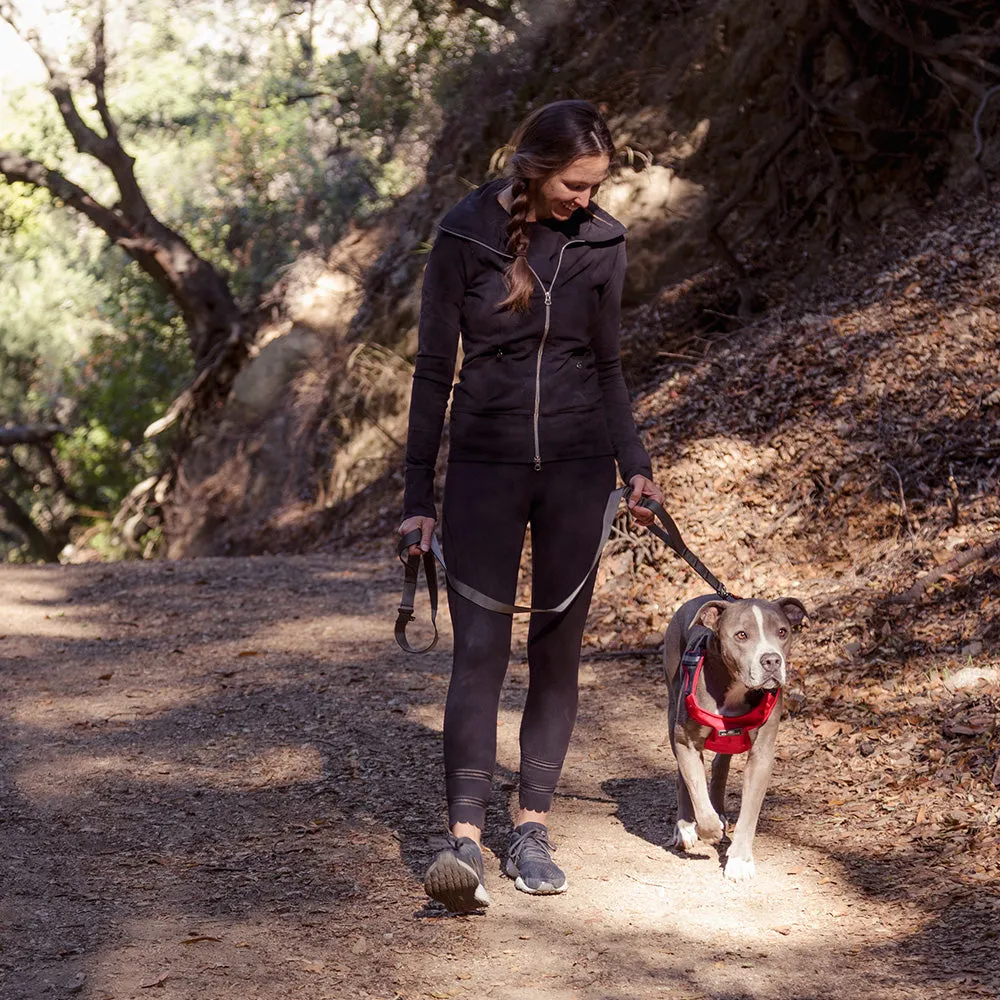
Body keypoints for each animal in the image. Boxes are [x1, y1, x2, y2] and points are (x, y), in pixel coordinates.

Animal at [660, 592, 808, 884]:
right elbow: (696, 789)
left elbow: (749, 812)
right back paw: (685, 827)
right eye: (741, 635)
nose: (771, 660)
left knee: (720, 764)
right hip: (673, 714)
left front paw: (739, 861)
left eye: (782, 632)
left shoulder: (762, 756)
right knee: (684, 777)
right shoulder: (686, 742)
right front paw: (707, 829)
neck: (736, 687)